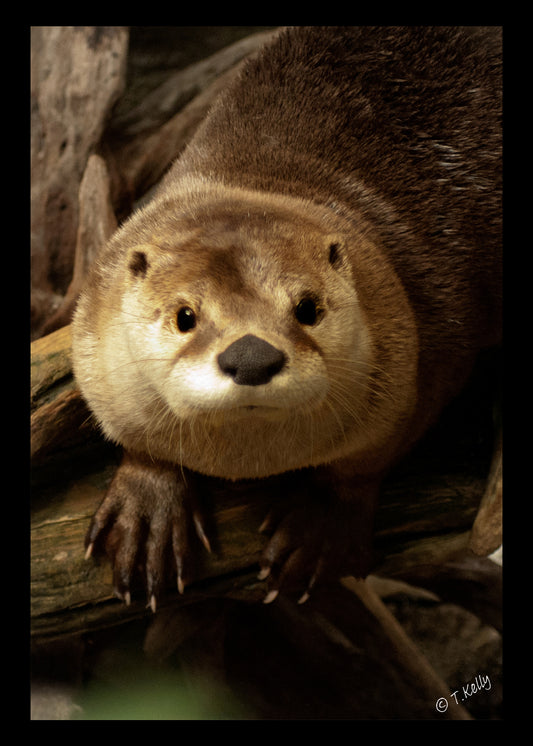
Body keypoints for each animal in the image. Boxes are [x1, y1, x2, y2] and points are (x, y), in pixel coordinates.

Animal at [72, 26, 502, 609]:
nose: (252, 357)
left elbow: (368, 460)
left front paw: (318, 529)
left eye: (307, 308)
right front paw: (148, 515)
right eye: (185, 316)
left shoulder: (428, 354)